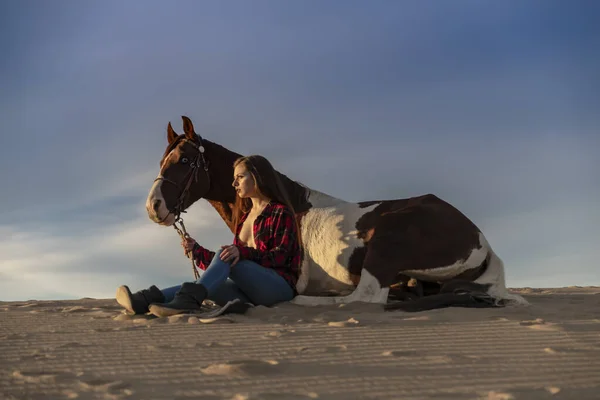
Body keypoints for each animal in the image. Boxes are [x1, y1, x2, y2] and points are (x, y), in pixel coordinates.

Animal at [145, 115, 524, 310]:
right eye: (163, 160)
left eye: (184, 161)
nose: (154, 207)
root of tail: (477, 236)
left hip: (386, 244)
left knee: (364, 298)